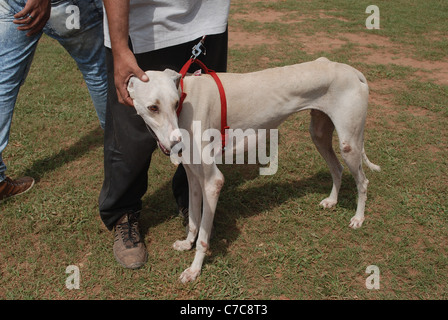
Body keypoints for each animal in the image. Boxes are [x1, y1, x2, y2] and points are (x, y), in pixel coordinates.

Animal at [128, 57, 380, 282]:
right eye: (153, 107)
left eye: (174, 104)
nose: (176, 144)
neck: (186, 96)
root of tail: (352, 71)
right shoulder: (193, 177)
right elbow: (193, 220)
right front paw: (186, 243)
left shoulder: (213, 181)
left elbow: (203, 237)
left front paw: (194, 270)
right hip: (319, 134)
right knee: (337, 169)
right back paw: (332, 201)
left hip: (349, 144)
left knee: (363, 181)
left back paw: (358, 218)